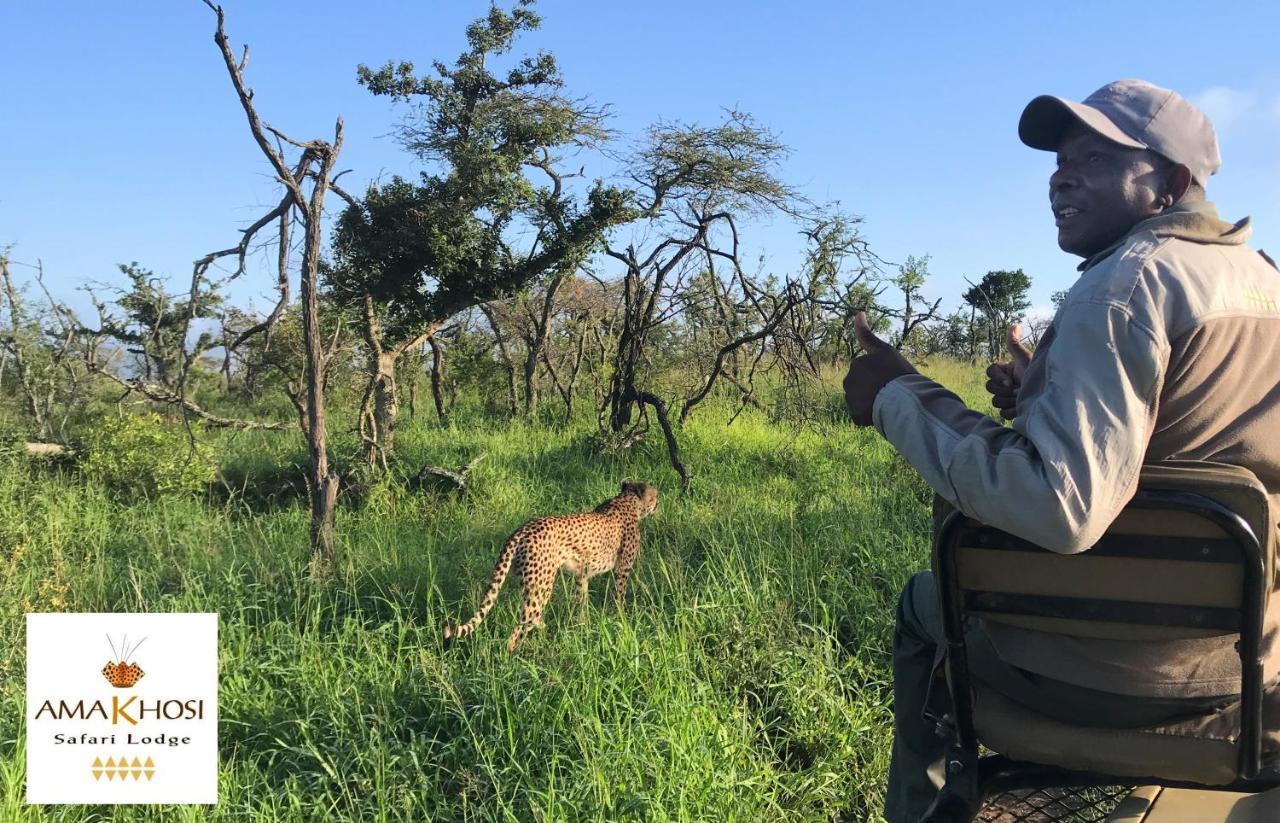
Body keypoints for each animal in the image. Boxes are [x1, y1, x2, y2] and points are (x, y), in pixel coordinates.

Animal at [442, 478, 660, 652]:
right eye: (655, 495)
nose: (659, 502)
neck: (627, 501)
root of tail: (522, 530)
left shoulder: (582, 574)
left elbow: (581, 601)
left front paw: (582, 626)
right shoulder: (622, 570)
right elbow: (619, 597)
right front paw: (620, 620)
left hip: (530, 583)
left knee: (531, 618)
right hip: (542, 586)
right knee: (523, 624)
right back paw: (513, 655)